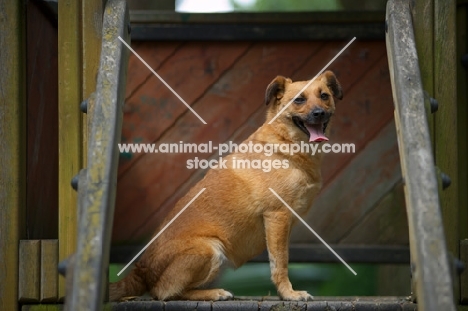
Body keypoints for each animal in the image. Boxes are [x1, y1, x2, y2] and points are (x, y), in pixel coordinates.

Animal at [110, 70, 344, 302]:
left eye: (324, 96)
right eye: (299, 100)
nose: (319, 113)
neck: (286, 143)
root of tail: (141, 269)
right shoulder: (277, 216)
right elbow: (280, 263)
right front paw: (288, 293)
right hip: (210, 248)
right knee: (165, 292)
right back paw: (214, 292)